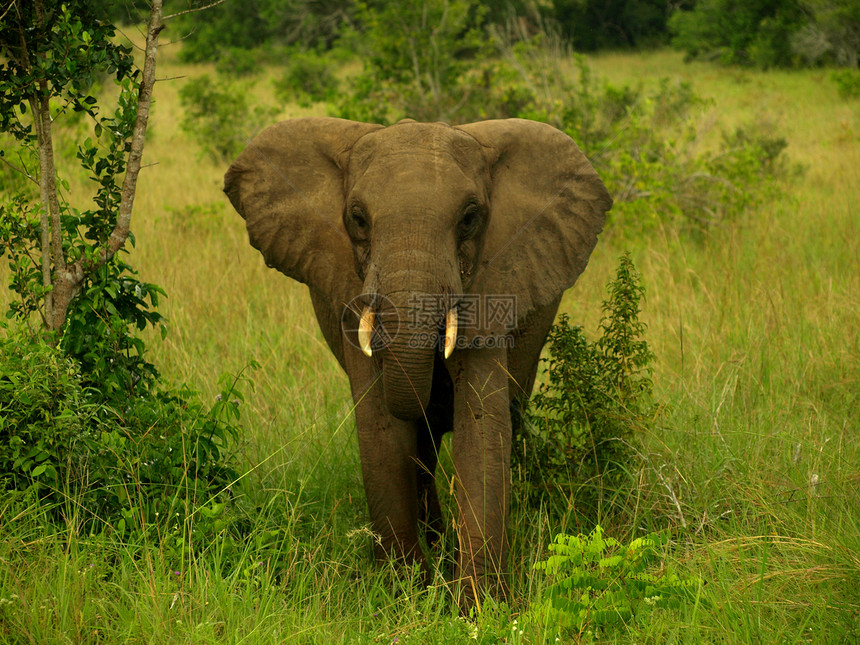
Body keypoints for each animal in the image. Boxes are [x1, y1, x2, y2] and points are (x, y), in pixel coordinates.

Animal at [222, 117, 612, 604]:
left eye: (469, 218)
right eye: (357, 218)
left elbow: (481, 427)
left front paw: (480, 607)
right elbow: (382, 429)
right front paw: (404, 593)